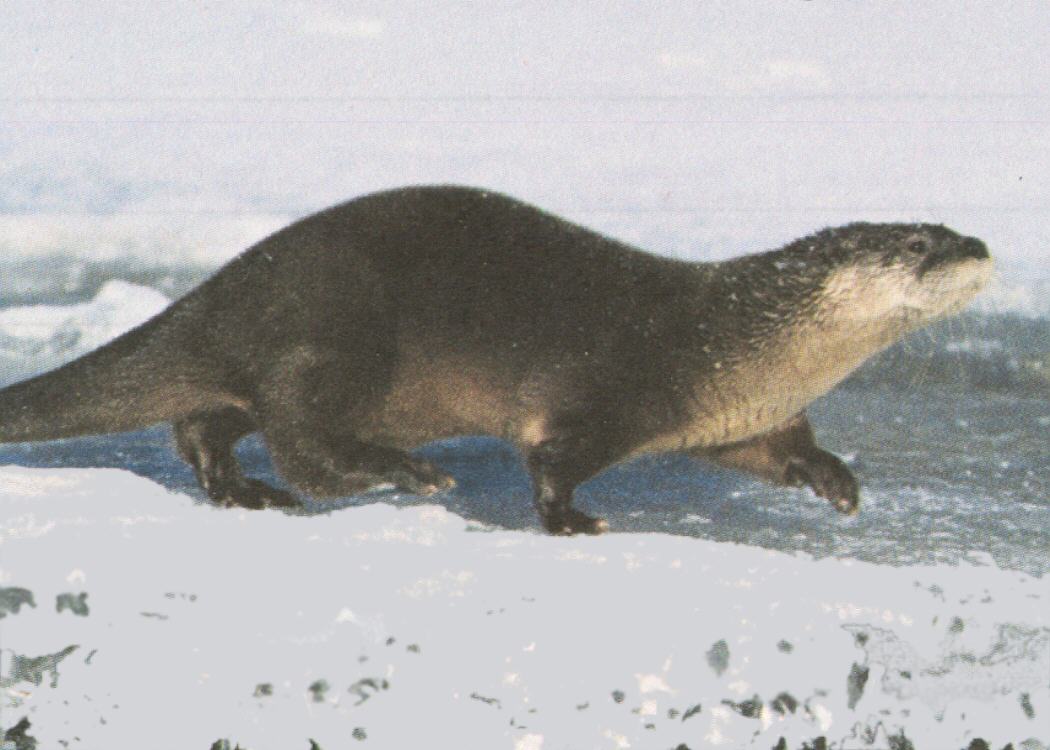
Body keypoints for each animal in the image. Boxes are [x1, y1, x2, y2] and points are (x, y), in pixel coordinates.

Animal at [0, 186, 992, 534]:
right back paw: (402, 473)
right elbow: (553, 461)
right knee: (300, 438)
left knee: (204, 425)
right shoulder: (613, 389)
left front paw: (837, 482)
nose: (980, 245)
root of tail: (224, 285)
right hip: (338, 335)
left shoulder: (736, 414)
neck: (736, 338)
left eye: (952, 226)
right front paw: (573, 521)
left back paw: (247, 494)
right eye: (918, 244)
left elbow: (776, 451)